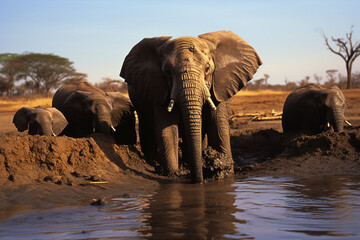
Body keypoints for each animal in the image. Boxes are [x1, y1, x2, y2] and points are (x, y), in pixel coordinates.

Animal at [121, 30, 262, 184]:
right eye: (167, 71)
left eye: (207, 69)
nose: (199, 181)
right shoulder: (159, 89)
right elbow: (167, 130)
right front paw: (174, 176)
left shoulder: (219, 86)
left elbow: (218, 126)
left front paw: (225, 173)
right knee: (146, 128)